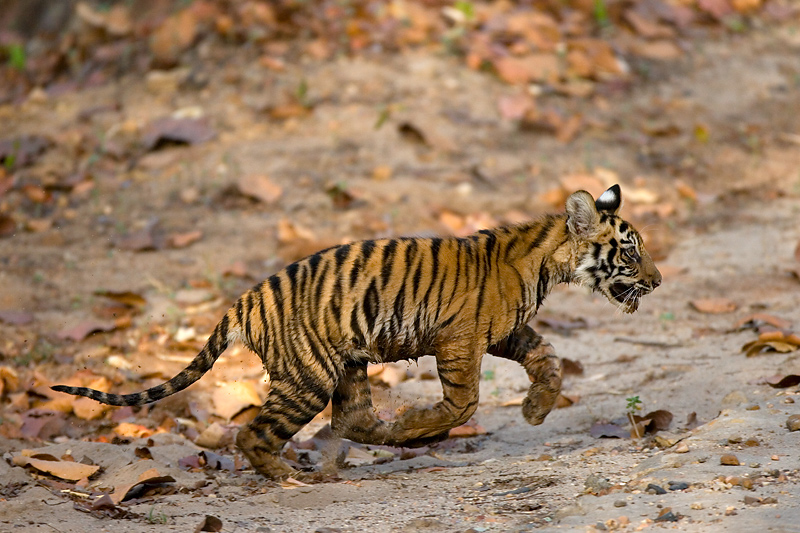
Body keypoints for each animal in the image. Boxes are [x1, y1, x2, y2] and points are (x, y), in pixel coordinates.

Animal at [51, 184, 664, 478]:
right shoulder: (461, 341)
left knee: (353, 420)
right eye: (631, 253)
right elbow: (463, 401)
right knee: (256, 434)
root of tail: (243, 302)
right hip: (309, 376)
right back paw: (295, 477)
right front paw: (426, 420)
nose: (658, 281)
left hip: (345, 365)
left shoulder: (503, 334)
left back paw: (391, 443)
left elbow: (549, 356)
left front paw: (536, 410)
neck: (545, 262)